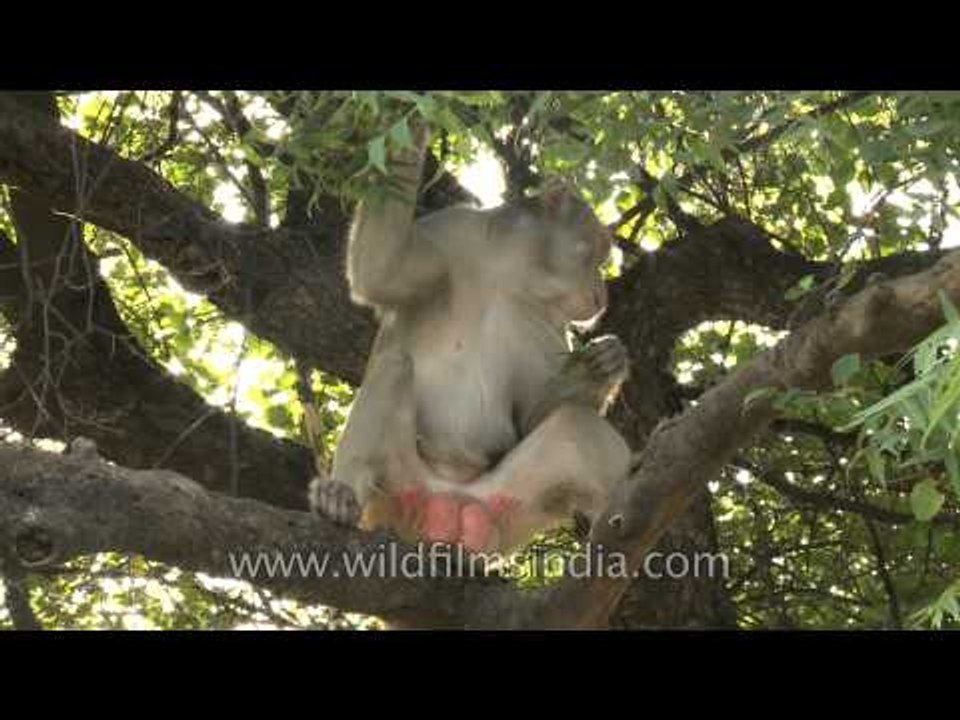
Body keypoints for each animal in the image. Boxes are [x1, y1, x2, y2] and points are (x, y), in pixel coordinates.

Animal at [309, 126, 632, 554]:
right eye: (595, 254)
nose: (601, 293)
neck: (509, 273)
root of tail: (448, 500)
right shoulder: (451, 231)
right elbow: (379, 271)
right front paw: (411, 124)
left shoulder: (551, 322)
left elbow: (532, 416)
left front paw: (605, 366)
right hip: (394, 492)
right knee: (394, 366)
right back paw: (339, 497)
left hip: (507, 511)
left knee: (576, 428)